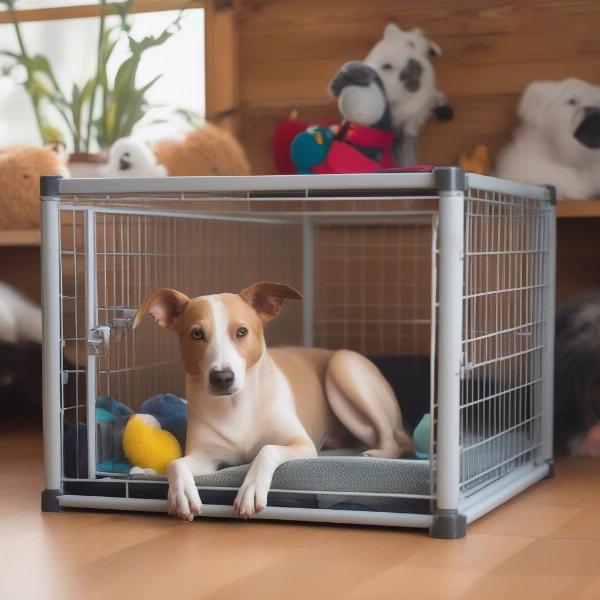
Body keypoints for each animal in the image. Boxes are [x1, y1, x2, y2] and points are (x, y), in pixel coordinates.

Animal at [132, 282, 412, 520]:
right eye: (197, 334)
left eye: (242, 331)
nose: (222, 378)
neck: (236, 405)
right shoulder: (206, 456)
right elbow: (175, 463)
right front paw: (181, 493)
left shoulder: (302, 444)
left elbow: (267, 449)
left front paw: (251, 488)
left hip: (343, 366)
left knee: (395, 440)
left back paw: (375, 455)